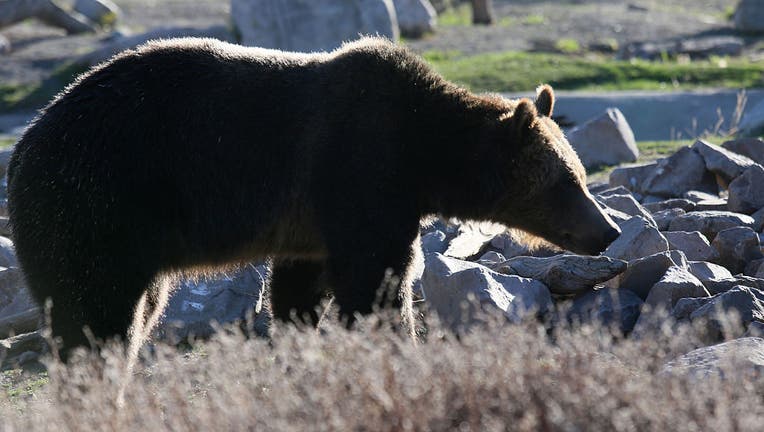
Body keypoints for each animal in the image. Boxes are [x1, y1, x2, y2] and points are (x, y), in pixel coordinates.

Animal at [7, 37, 620, 360]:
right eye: (570, 181)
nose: (609, 230)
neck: (424, 153)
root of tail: (21, 151)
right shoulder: (360, 174)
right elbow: (377, 282)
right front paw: (395, 342)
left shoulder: (314, 223)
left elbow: (298, 288)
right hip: (93, 210)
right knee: (98, 315)